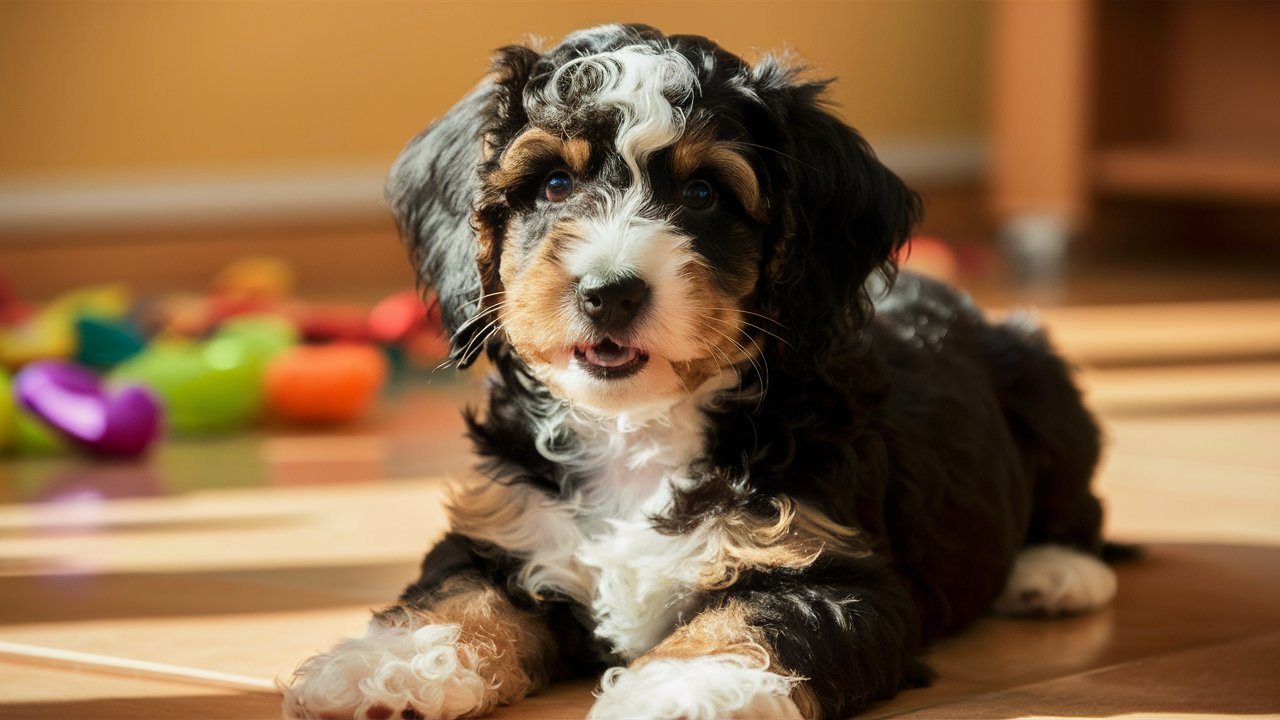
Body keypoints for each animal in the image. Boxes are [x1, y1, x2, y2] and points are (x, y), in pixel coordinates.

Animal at [285, 22, 1116, 717]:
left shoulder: (834, 572)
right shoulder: (505, 526)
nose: (609, 292)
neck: (636, 431)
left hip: (1042, 382)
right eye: (553, 185)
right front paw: (385, 665)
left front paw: (680, 690)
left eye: (703, 193)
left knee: (1080, 506)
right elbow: (457, 590)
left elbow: (750, 620)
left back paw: (1055, 573)